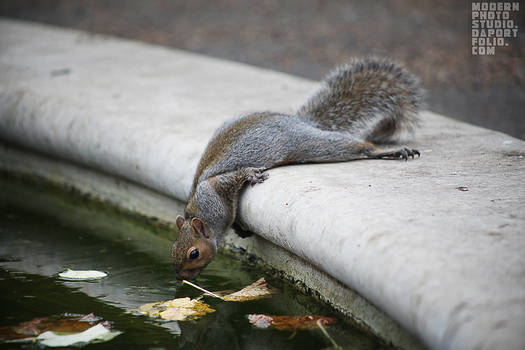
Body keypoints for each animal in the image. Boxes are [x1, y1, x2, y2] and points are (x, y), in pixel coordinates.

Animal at [171, 58, 422, 282]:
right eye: (173, 250)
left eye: (194, 253)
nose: (181, 277)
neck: (200, 211)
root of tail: (302, 122)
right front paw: (242, 230)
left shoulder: (215, 188)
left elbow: (234, 177)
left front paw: (252, 175)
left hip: (311, 145)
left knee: (356, 146)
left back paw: (389, 151)